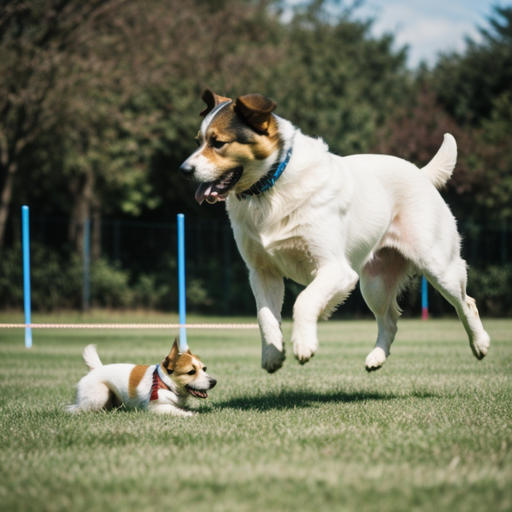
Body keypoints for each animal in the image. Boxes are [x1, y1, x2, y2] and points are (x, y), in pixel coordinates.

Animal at [67, 340, 216, 416]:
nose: (214, 382)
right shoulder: (153, 408)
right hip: (100, 395)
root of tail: (96, 369)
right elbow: (174, 410)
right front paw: (189, 414)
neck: (164, 383)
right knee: (73, 408)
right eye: (191, 372)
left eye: (204, 369)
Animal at [180, 90, 492, 374]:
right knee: (390, 319)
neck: (271, 187)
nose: (183, 170)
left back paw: (480, 344)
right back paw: (376, 357)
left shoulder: (336, 269)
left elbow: (304, 301)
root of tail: (420, 172)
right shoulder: (262, 273)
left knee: (468, 303)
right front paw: (272, 354)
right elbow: (264, 316)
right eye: (197, 142)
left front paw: (303, 343)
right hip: (375, 283)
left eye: (218, 143)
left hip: (437, 266)